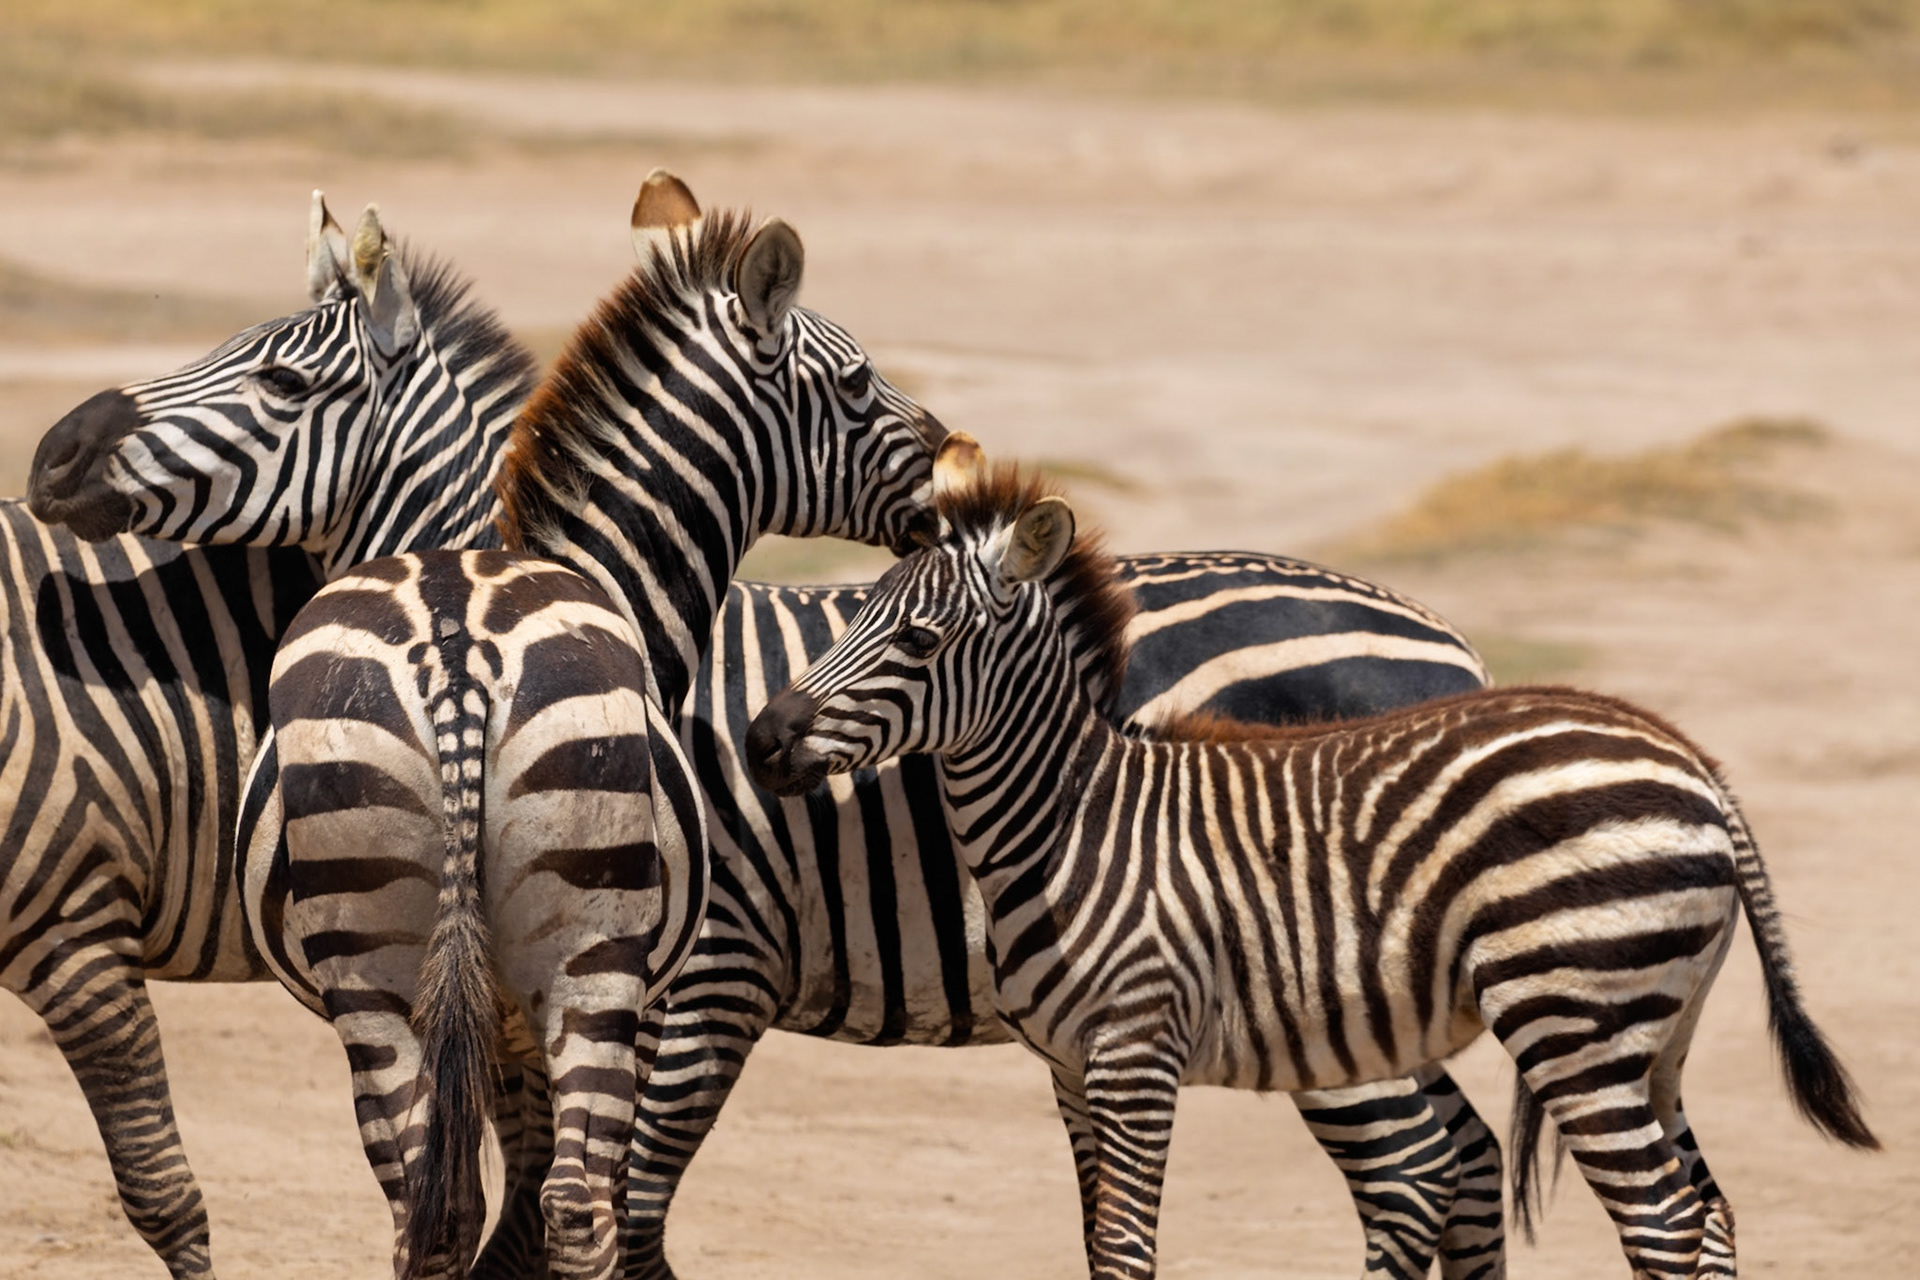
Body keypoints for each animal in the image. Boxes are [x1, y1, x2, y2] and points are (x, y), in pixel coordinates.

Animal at [744, 448, 1880, 1280]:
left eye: (922, 639)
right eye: (857, 611)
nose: (760, 739)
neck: (1074, 821)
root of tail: (1694, 764)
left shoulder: (1135, 1051)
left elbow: (1129, 1249)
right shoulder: (1070, 1067)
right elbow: (1101, 1244)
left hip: (1572, 1021)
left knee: (1653, 1221)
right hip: (1653, 1033)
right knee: (1704, 1209)